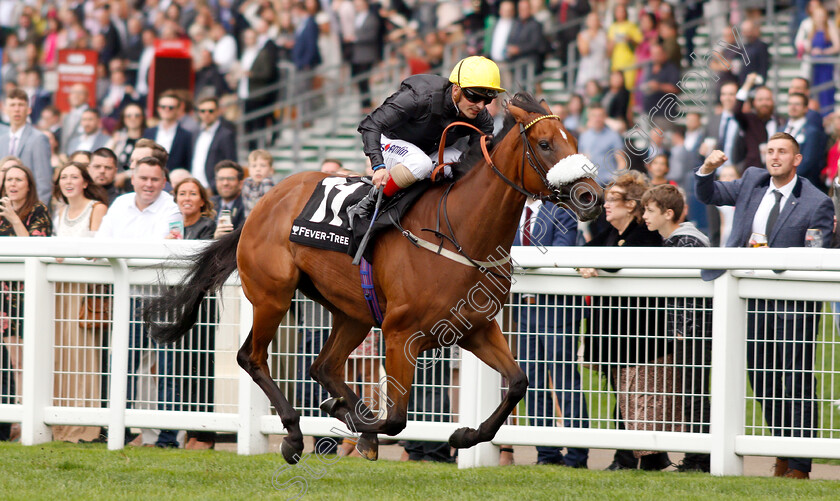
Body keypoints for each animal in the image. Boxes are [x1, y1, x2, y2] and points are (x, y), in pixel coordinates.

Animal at [146, 92, 604, 462]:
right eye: (544, 143)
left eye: (573, 141)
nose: (590, 196)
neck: (459, 232)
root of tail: (261, 204)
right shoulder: (402, 335)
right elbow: (397, 418)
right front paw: (346, 417)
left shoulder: (475, 327)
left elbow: (518, 382)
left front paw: (464, 435)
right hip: (273, 295)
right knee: (252, 358)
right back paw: (294, 434)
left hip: (354, 312)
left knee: (323, 366)